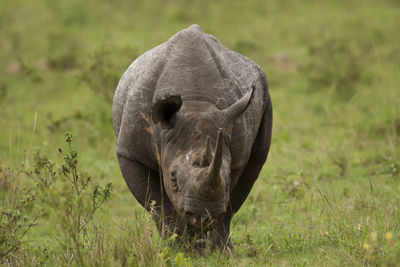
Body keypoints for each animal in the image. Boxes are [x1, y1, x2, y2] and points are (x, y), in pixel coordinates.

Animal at [112, 24, 272, 252]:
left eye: (228, 176)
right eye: (172, 177)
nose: (203, 217)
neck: (195, 103)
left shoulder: (235, 154)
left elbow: (229, 200)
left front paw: (213, 251)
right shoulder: (130, 153)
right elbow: (158, 205)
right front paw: (178, 249)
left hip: (264, 96)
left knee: (253, 167)